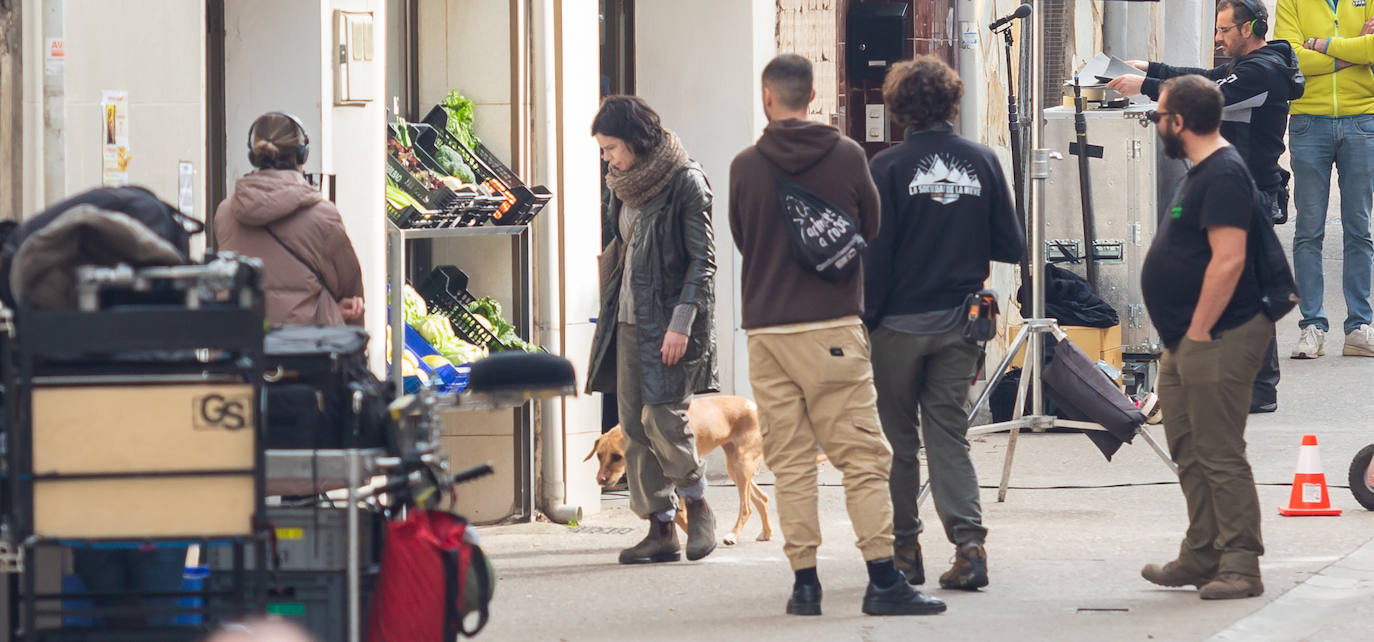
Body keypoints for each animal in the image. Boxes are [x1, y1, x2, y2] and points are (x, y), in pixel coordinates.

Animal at [582, 395, 769, 544]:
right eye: (599, 455)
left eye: (617, 456)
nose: (600, 480)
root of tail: (754, 405)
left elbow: (681, 513)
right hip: (734, 467)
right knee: (762, 498)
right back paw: (766, 533)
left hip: (741, 464)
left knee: (747, 508)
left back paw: (733, 535)